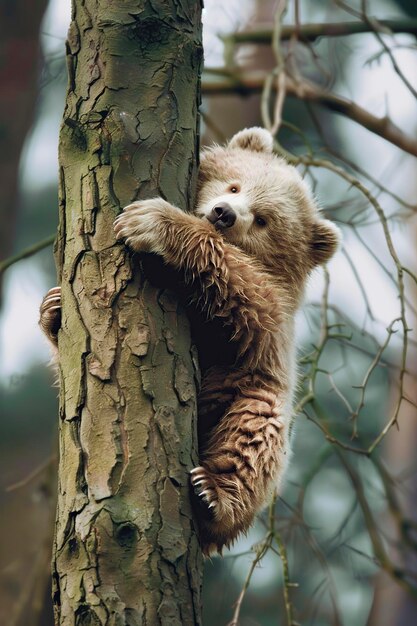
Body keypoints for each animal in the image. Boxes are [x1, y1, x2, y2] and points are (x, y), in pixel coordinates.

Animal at [39, 125, 340, 552]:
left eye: (263, 220)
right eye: (234, 184)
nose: (224, 213)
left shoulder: (270, 318)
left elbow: (243, 290)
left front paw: (152, 221)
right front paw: (52, 307)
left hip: (250, 395)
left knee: (253, 436)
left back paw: (213, 494)